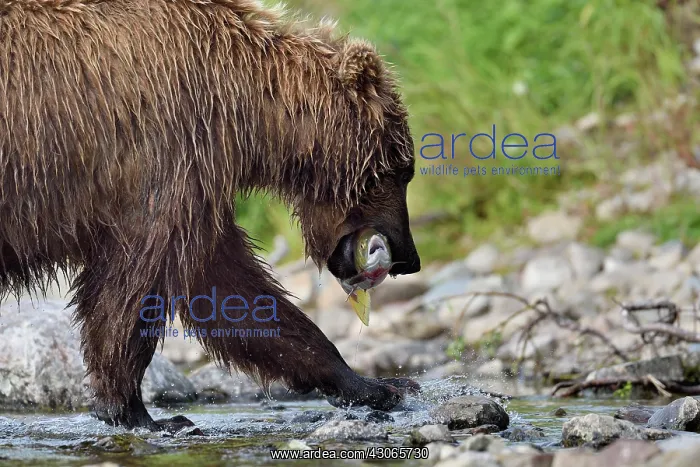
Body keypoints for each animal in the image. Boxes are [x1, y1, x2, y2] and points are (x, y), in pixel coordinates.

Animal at [0, 0, 421, 432]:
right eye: (400, 169)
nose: (409, 258)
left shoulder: (197, 172)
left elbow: (230, 289)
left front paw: (376, 385)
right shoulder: (171, 151)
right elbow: (135, 285)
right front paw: (140, 412)